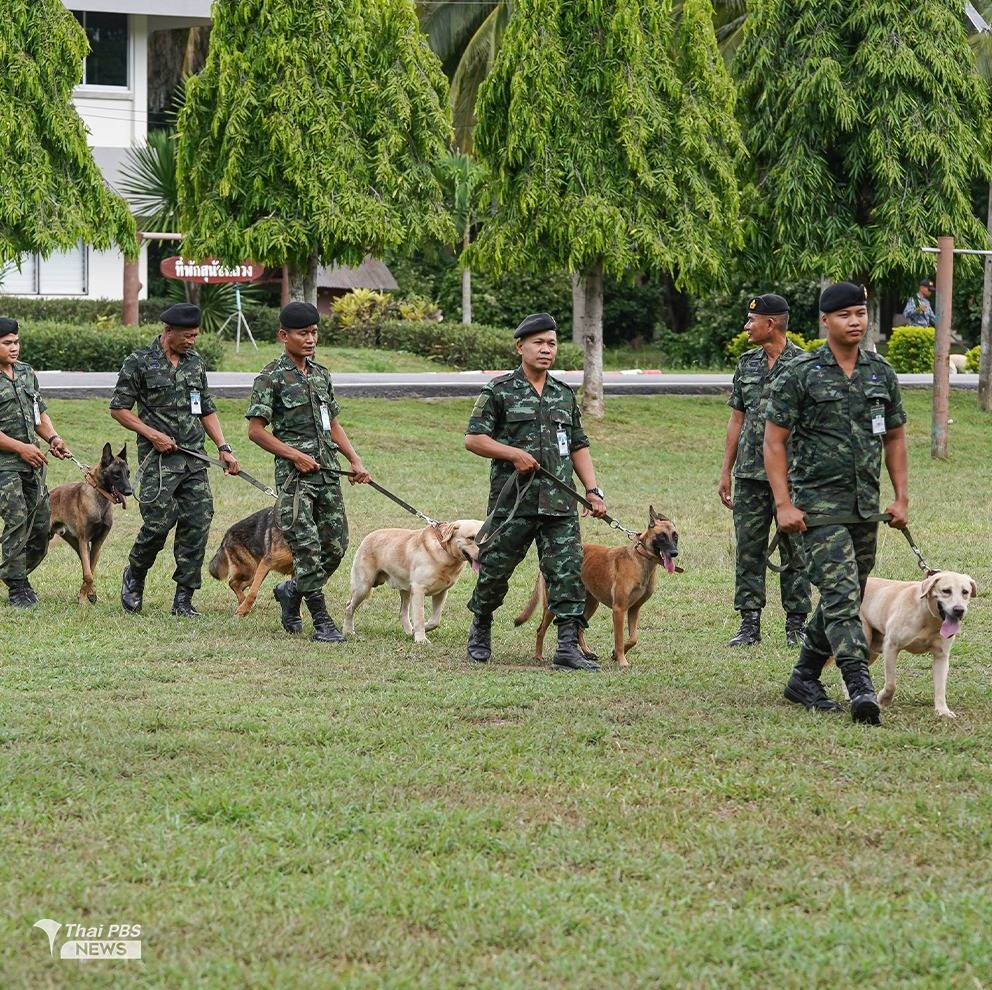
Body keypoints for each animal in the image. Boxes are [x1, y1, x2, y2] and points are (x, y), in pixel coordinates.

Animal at [48, 444, 133, 604]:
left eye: (128, 473)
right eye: (116, 474)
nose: (129, 491)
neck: (99, 497)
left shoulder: (97, 543)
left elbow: (90, 570)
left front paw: (88, 594)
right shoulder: (84, 540)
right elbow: (88, 574)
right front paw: (82, 601)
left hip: (76, 544)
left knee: (84, 563)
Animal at [344, 520, 484, 644]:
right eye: (471, 538)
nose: (484, 554)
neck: (444, 551)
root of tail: (368, 537)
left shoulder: (442, 592)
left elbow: (435, 620)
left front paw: (417, 632)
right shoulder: (418, 590)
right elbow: (419, 617)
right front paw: (421, 639)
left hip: (405, 589)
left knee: (402, 613)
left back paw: (408, 632)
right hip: (363, 587)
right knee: (349, 607)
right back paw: (348, 631)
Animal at [512, 512, 680, 668]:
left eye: (675, 536)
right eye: (662, 536)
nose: (674, 553)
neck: (641, 558)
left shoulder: (634, 609)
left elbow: (633, 639)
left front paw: (615, 655)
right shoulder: (619, 610)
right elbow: (619, 639)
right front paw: (621, 660)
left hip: (591, 604)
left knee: (579, 628)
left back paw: (587, 652)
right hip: (552, 606)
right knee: (541, 630)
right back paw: (538, 656)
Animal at [856, 572, 980, 720]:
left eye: (965, 592)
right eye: (946, 591)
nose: (959, 610)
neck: (928, 617)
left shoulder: (941, 657)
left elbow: (940, 687)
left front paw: (942, 710)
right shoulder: (891, 646)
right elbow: (891, 684)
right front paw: (883, 700)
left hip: (872, 651)